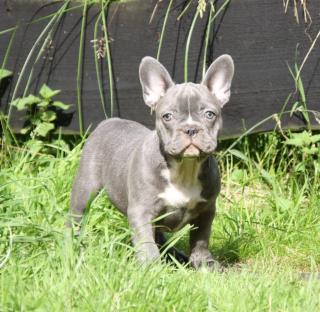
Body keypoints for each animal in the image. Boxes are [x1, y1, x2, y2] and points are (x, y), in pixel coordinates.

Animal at [70, 53, 234, 268]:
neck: (184, 167)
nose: (190, 129)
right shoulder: (142, 211)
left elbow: (200, 238)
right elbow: (146, 243)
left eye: (209, 114)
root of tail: (110, 120)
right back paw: (71, 246)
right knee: (76, 217)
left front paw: (203, 263)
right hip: (85, 188)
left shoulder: (206, 210)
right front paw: (151, 267)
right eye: (167, 116)